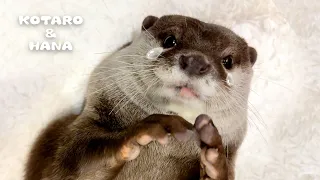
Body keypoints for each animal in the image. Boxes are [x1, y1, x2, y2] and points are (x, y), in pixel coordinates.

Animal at [25, 14, 258, 179]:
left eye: (227, 61)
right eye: (170, 40)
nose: (196, 62)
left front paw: (215, 160)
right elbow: (68, 164)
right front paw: (145, 129)